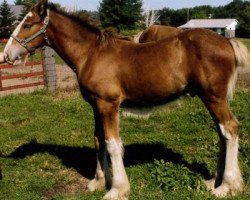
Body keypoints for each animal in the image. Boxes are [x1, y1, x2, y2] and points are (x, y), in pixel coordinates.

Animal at [2, 0, 250, 199]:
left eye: (27, 25)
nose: (6, 55)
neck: (91, 54)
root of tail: (227, 42)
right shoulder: (96, 106)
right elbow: (98, 140)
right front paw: (99, 181)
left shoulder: (108, 104)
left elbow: (113, 144)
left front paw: (116, 189)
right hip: (212, 99)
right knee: (222, 133)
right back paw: (213, 181)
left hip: (214, 98)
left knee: (230, 128)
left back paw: (226, 186)